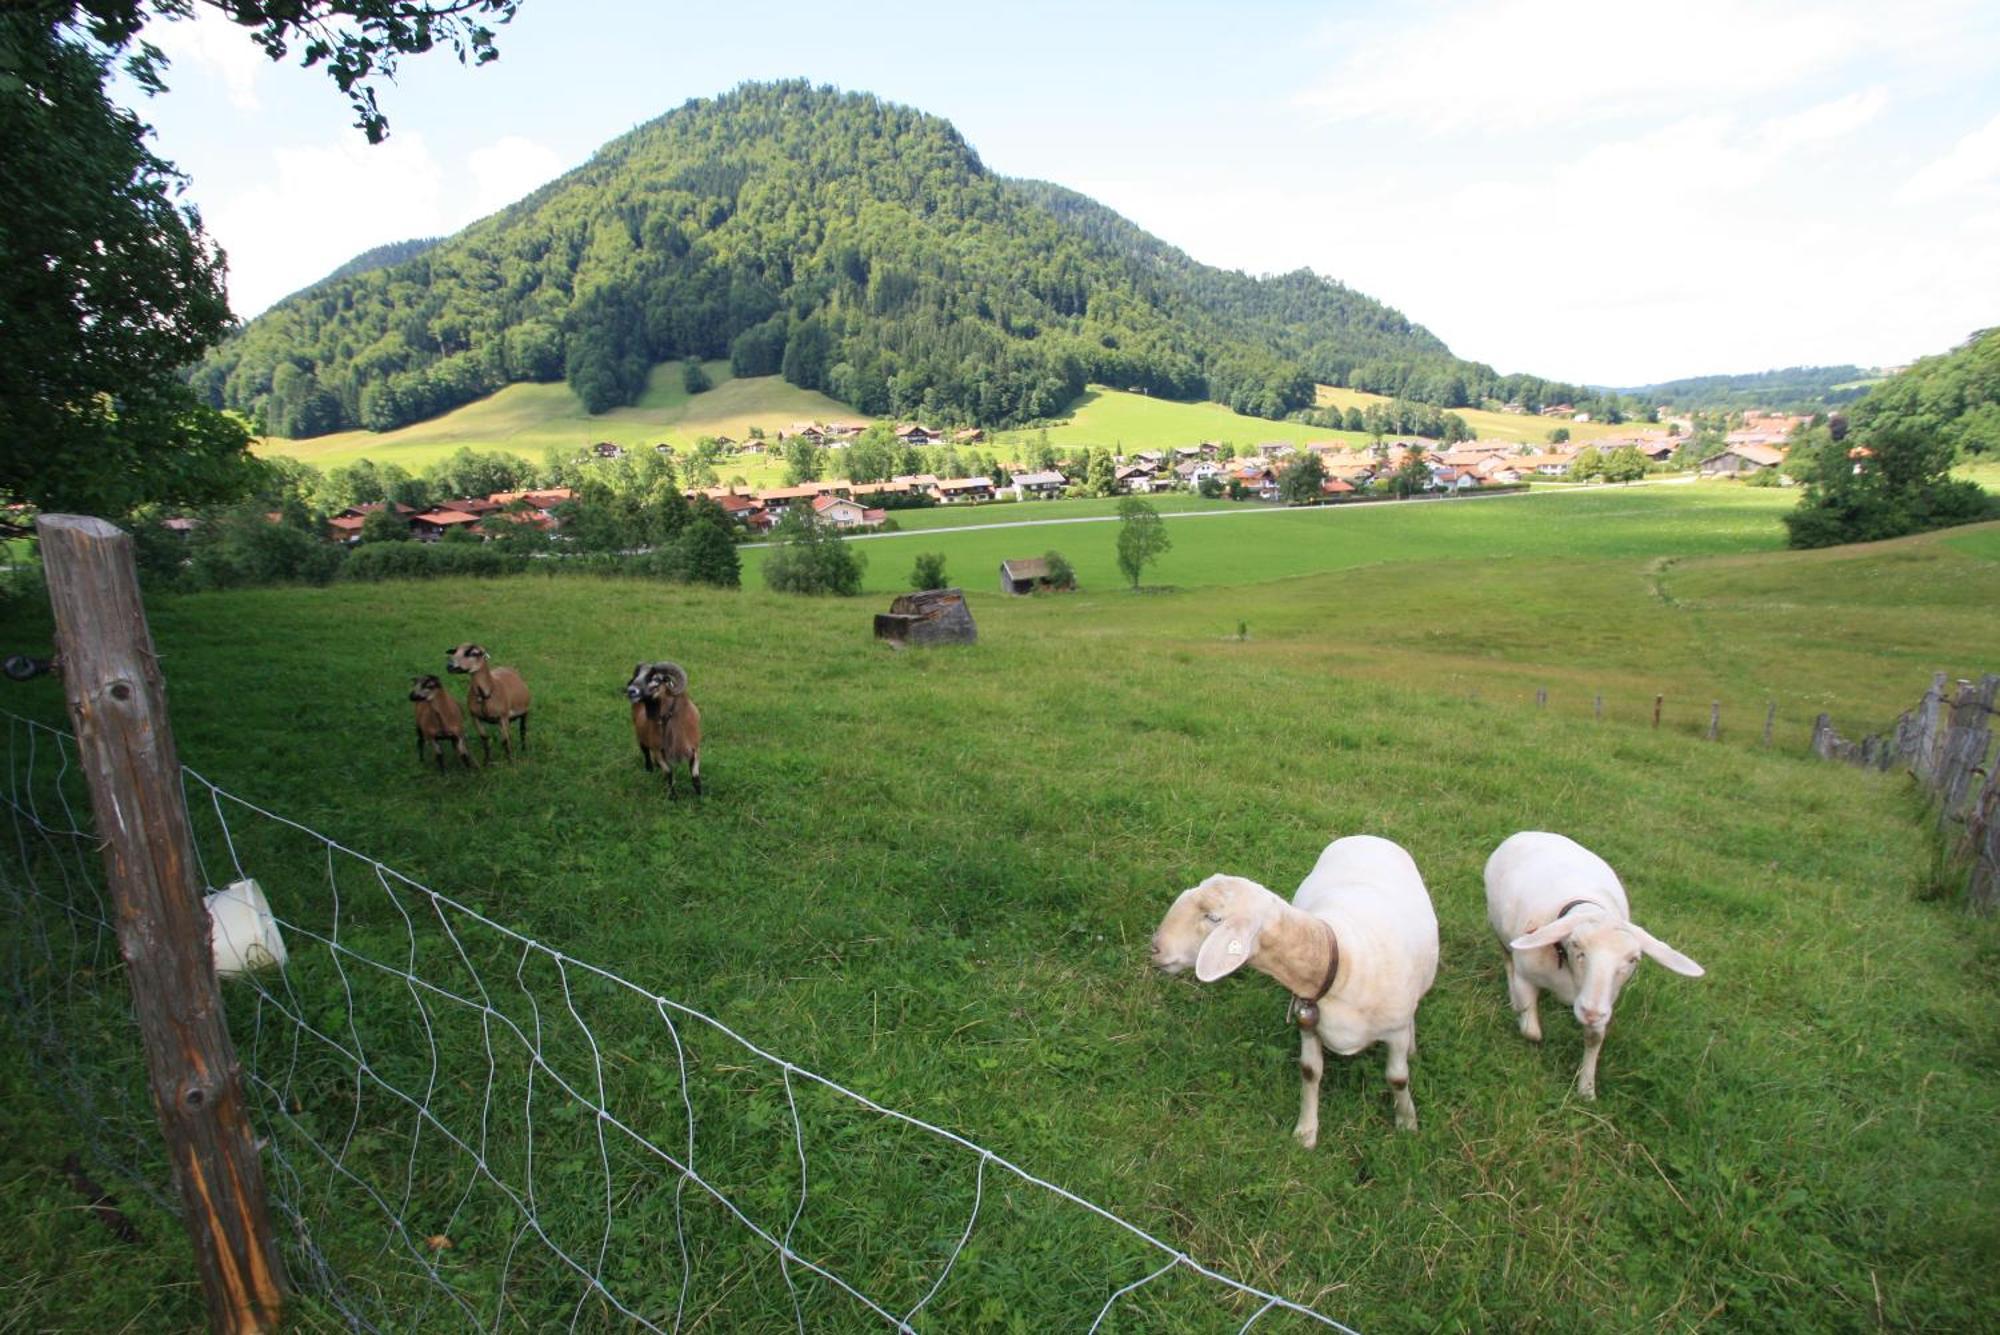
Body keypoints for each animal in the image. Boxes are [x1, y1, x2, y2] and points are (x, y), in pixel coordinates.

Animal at [624, 663, 704, 799]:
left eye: (656, 679)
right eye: (637, 676)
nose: (631, 690)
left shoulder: (694, 748)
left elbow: (695, 776)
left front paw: (700, 796)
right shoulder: (659, 750)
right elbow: (669, 774)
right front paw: (673, 798)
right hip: (640, 735)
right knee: (645, 751)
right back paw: (649, 768)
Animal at [1160, 835, 1440, 1135]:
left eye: (1213, 918)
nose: (1155, 948)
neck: (1340, 961)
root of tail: (1368, 836)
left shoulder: (1394, 1032)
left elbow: (1397, 1078)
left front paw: (1407, 1122)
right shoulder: (1308, 1024)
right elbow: (1310, 1072)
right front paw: (1306, 1132)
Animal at [1488, 827, 1704, 1103]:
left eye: (1633, 960)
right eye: (1577, 945)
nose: (1591, 1012)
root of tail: (1533, 832)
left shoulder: (1605, 999)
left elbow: (1594, 1039)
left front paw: (1587, 1089)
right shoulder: (1527, 976)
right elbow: (1532, 1032)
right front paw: (1524, 1017)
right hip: (1500, 933)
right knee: (1507, 962)